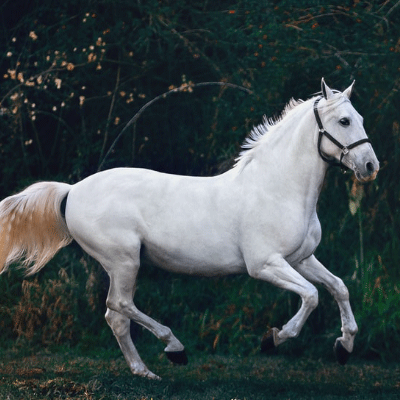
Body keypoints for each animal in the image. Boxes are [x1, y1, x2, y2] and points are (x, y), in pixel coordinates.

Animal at [0, 77, 380, 378]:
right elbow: (312, 296)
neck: (277, 188)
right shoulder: (265, 265)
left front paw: (344, 346)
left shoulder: (300, 259)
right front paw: (273, 339)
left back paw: (145, 371)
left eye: (361, 118)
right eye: (344, 120)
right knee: (120, 306)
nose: (370, 166)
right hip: (124, 261)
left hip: (122, 264)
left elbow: (339, 288)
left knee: (115, 315)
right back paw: (175, 349)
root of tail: (72, 190)